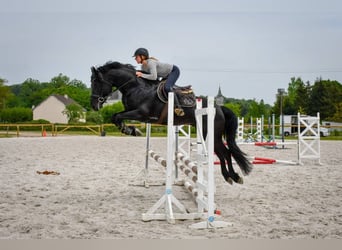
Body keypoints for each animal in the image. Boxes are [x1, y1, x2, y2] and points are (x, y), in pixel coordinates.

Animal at [90, 61, 251, 185]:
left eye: (96, 82)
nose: (93, 105)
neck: (136, 87)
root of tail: (219, 107)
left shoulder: (141, 114)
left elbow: (117, 117)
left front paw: (131, 130)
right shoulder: (133, 112)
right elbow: (115, 116)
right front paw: (131, 130)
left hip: (212, 135)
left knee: (225, 153)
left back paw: (232, 176)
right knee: (224, 153)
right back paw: (231, 177)